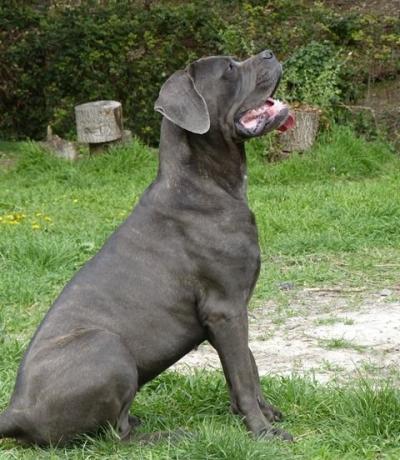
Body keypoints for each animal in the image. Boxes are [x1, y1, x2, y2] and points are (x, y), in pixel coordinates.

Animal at [0, 50, 294, 446]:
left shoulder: (233, 309)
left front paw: (263, 414)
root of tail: (15, 412)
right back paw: (172, 436)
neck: (206, 184)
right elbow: (244, 375)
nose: (268, 53)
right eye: (230, 68)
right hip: (109, 348)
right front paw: (262, 431)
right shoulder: (226, 308)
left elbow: (246, 366)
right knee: (114, 436)